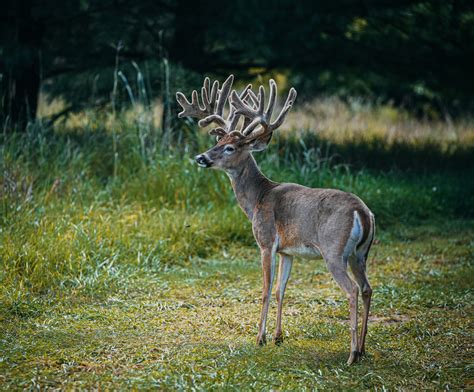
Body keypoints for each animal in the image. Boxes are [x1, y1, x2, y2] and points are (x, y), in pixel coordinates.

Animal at [174, 74, 374, 364]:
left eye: (229, 148)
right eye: (217, 143)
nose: (201, 157)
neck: (258, 198)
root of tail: (363, 212)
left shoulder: (266, 241)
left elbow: (266, 289)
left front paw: (260, 337)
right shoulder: (287, 251)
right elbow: (282, 289)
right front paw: (279, 337)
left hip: (334, 251)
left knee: (352, 290)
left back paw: (351, 354)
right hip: (360, 253)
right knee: (367, 288)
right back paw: (363, 348)